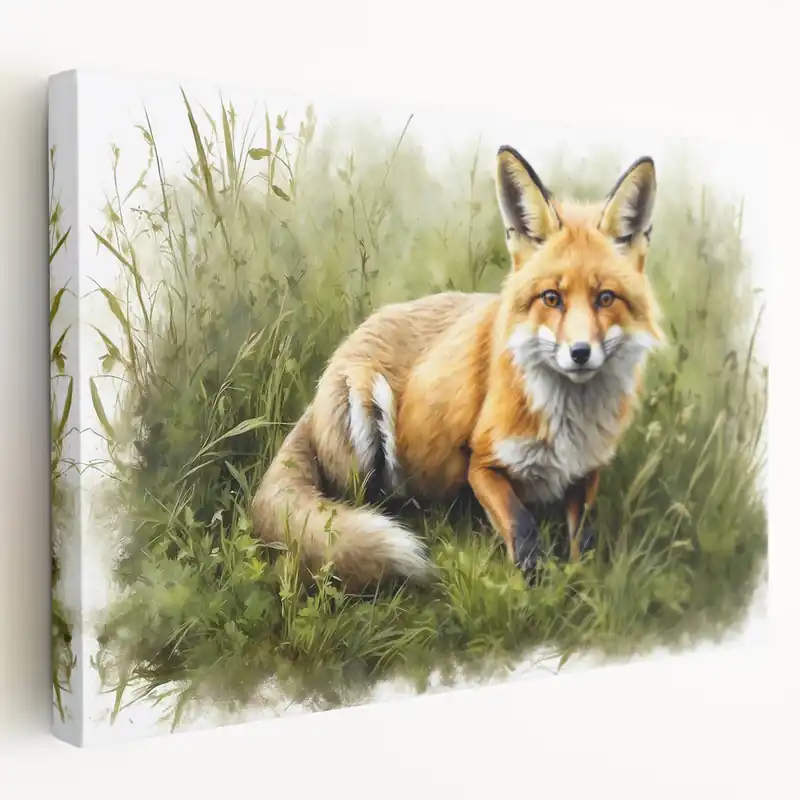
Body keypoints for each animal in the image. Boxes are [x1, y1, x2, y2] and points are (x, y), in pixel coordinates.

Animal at [252, 145, 664, 591]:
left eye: (606, 298)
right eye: (551, 298)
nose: (580, 353)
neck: (570, 422)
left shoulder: (586, 472)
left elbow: (582, 539)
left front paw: (581, 585)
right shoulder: (481, 461)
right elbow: (522, 524)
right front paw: (531, 582)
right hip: (363, 410)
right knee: (360, 503)